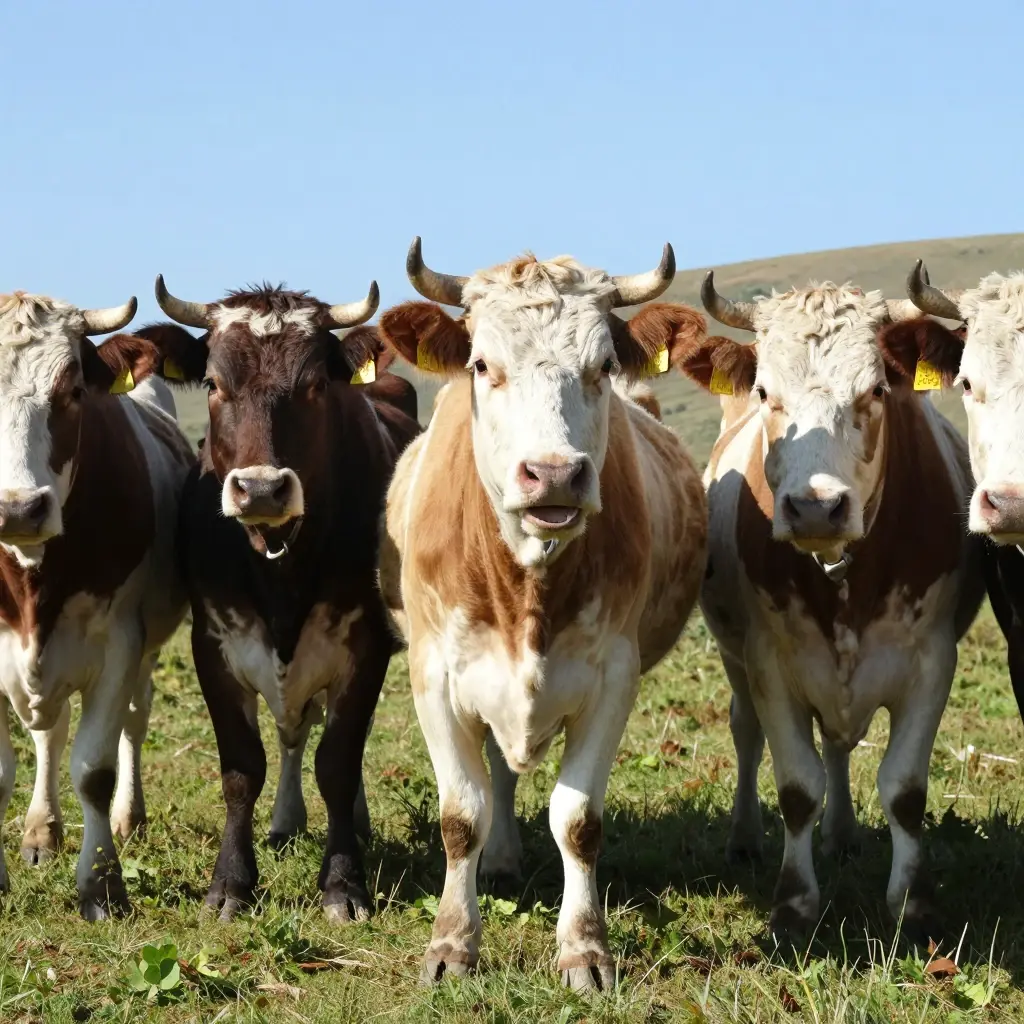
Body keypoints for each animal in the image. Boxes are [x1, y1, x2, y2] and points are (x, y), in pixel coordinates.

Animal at [0, 291, 193, 918]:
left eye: (73, 392)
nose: (18, 508)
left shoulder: (119, 646)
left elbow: (94, 769)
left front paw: (102, 882)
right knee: (49, 734)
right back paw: (42, 830)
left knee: (133, 719)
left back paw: (129, 818)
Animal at [124, 276, 419, 923]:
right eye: (213, 383)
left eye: (315, 385)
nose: (261, 489)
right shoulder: (213, 644)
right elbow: (243, 768)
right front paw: (231, 883)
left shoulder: (364, 647)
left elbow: (338, 762)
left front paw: (343, 882)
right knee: (292, 734)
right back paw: (286, 823)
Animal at [375, 239, 708, 991]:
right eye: (481, 365)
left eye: (604, 365)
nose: (554, 474)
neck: (525, 588)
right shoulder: (433, 674)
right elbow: (461, 812)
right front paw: (452, 942)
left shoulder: (614, 676)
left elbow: (577, 820)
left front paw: (584, 947)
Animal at [676, 274, 985, 943]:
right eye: (766, 391)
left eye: (875, 390)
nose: (816, 507)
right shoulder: (770, 663)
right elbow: (796, 786)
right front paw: (793, 906)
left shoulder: (931, 662)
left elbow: (903, 789)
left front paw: (912, 904)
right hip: (733, 655)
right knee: (746, 733)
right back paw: (745, 837)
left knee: (839, 748)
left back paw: (842, 834)